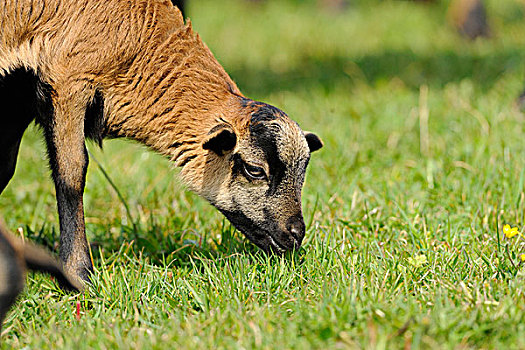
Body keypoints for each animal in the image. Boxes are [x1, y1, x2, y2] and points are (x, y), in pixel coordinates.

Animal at [0, 0, 322, 284]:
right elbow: (71, 174)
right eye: (255, 170)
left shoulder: (17, 98)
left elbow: (4, 170)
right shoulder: (68, 83)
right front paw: (79, 274)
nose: (296, 234)